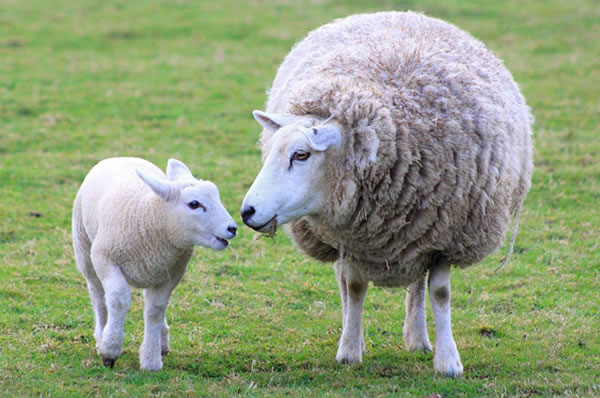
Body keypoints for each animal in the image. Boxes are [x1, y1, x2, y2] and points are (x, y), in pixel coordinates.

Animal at [72, 157, 237, 372]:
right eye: (194, 204)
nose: (232, 228)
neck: (150, 216)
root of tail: (120, 157)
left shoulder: (172, 274)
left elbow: (155, 311)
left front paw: (151, 360)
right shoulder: (105, 260)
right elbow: (118, 300)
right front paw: (110, 350)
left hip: (153, 270)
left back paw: (162, 342)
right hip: (85, 249)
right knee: (99, 297)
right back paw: (101, 336)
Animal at [241, 10, 532, 378]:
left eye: (301, 155)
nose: (247, 212)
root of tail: (400, 13)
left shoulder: (446, 235)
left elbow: (439, 293)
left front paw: (448, 361)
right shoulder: (352, 236)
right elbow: (353, 287)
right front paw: (350, 350)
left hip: (421, 234)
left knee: (417, 284)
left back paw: (418, 339)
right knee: (346, 283)